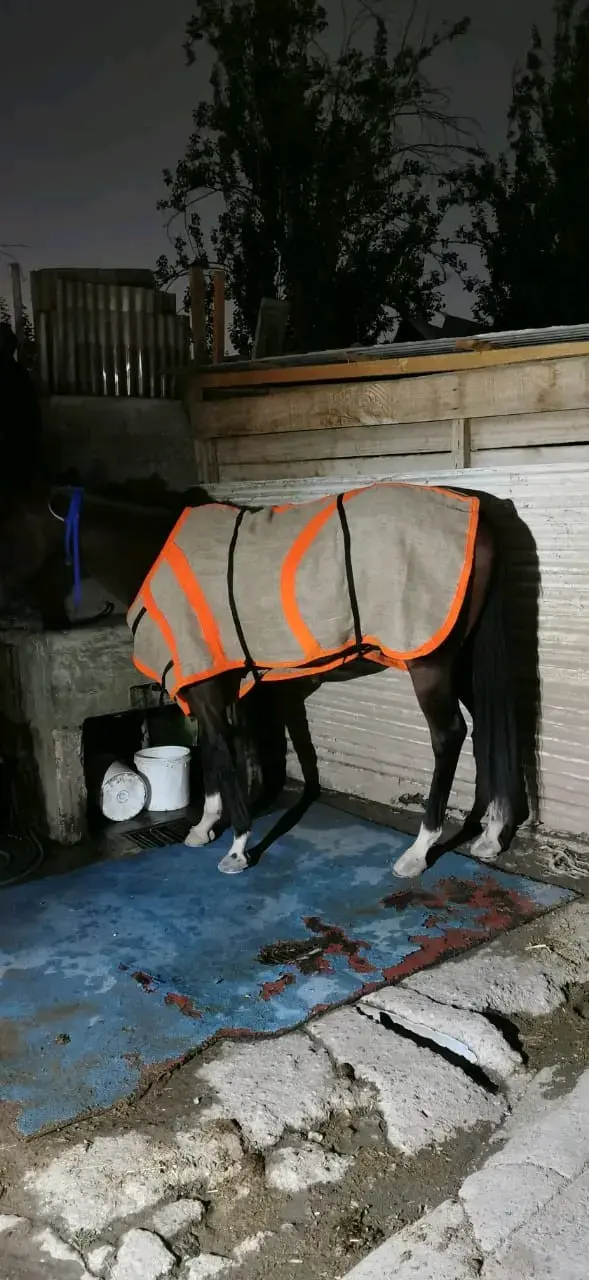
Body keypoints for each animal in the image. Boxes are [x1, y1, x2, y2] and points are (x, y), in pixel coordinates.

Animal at [0, 479, 528, 877]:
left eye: (10, 525)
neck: (152, 551)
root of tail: (478, 516)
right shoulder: (218, 680)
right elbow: (216, 750)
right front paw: (204, 828)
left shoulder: (206, 684)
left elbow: (223, 752)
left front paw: (236, 848)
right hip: (462, 661)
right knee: (488, 728)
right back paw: (491, 835)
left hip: (430, 664)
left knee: (449, 736)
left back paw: (418, 852)